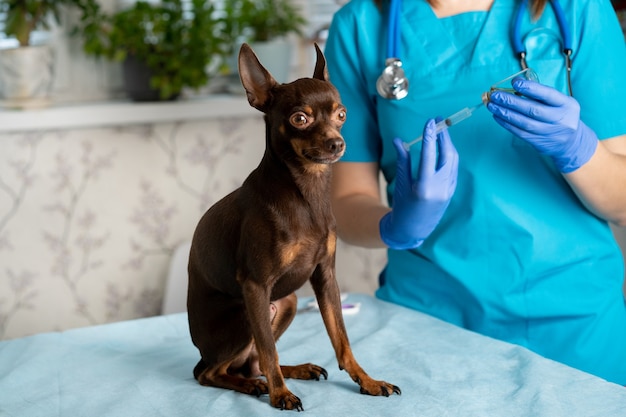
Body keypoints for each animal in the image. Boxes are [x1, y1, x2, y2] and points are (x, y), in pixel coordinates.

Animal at [186, 41, 400, 410]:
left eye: (342, 114)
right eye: (300, 118)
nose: (337, 143)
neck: (306, 193)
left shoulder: (325, 277)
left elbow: (342, 339)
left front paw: (368, 381)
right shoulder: (255, 286)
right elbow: (269, 350)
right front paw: (280, 395)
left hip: (287, 303)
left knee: (252, 362)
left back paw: (293, 371)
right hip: (245, 314)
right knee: (213, 371)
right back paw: (257, 386)